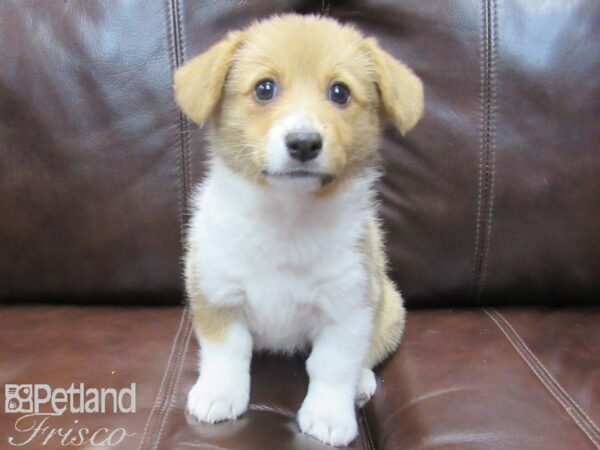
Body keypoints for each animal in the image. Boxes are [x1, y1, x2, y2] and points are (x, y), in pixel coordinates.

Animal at [172, 13, 422, 446]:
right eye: (264, 88)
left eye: (340, 92)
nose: (304, 143)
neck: (286, 217)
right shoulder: (217, 294)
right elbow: (227, 352)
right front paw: (219, 394)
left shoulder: (347, 309)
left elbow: (333, 365)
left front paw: (328, 416)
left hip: (389, 308)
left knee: (366, 357)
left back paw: (361, 384)